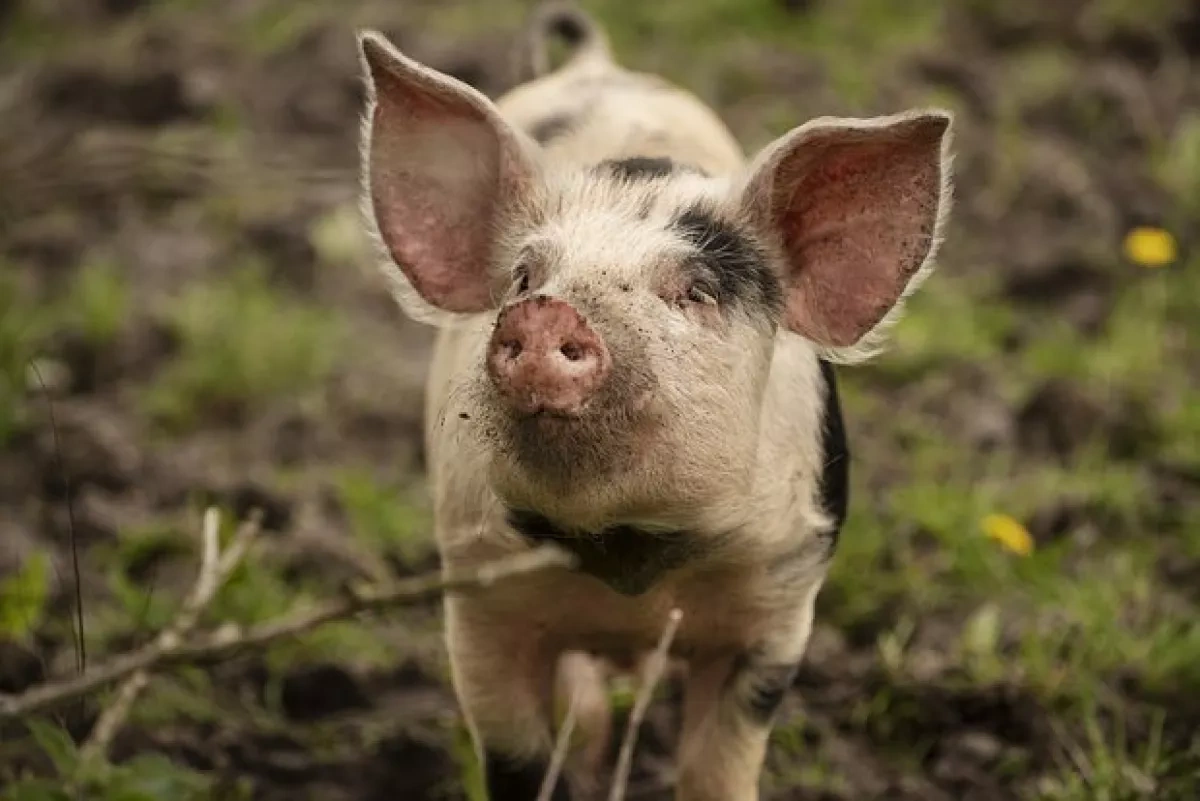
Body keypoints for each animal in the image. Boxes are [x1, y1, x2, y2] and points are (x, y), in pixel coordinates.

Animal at [355, 3, 954, 799]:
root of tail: (597, 63)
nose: (545, 313)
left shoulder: (779, 605)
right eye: (523, 277)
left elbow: (718, 767)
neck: (628, 557)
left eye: (696, 290)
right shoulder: (478, 600)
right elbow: (518, 759)